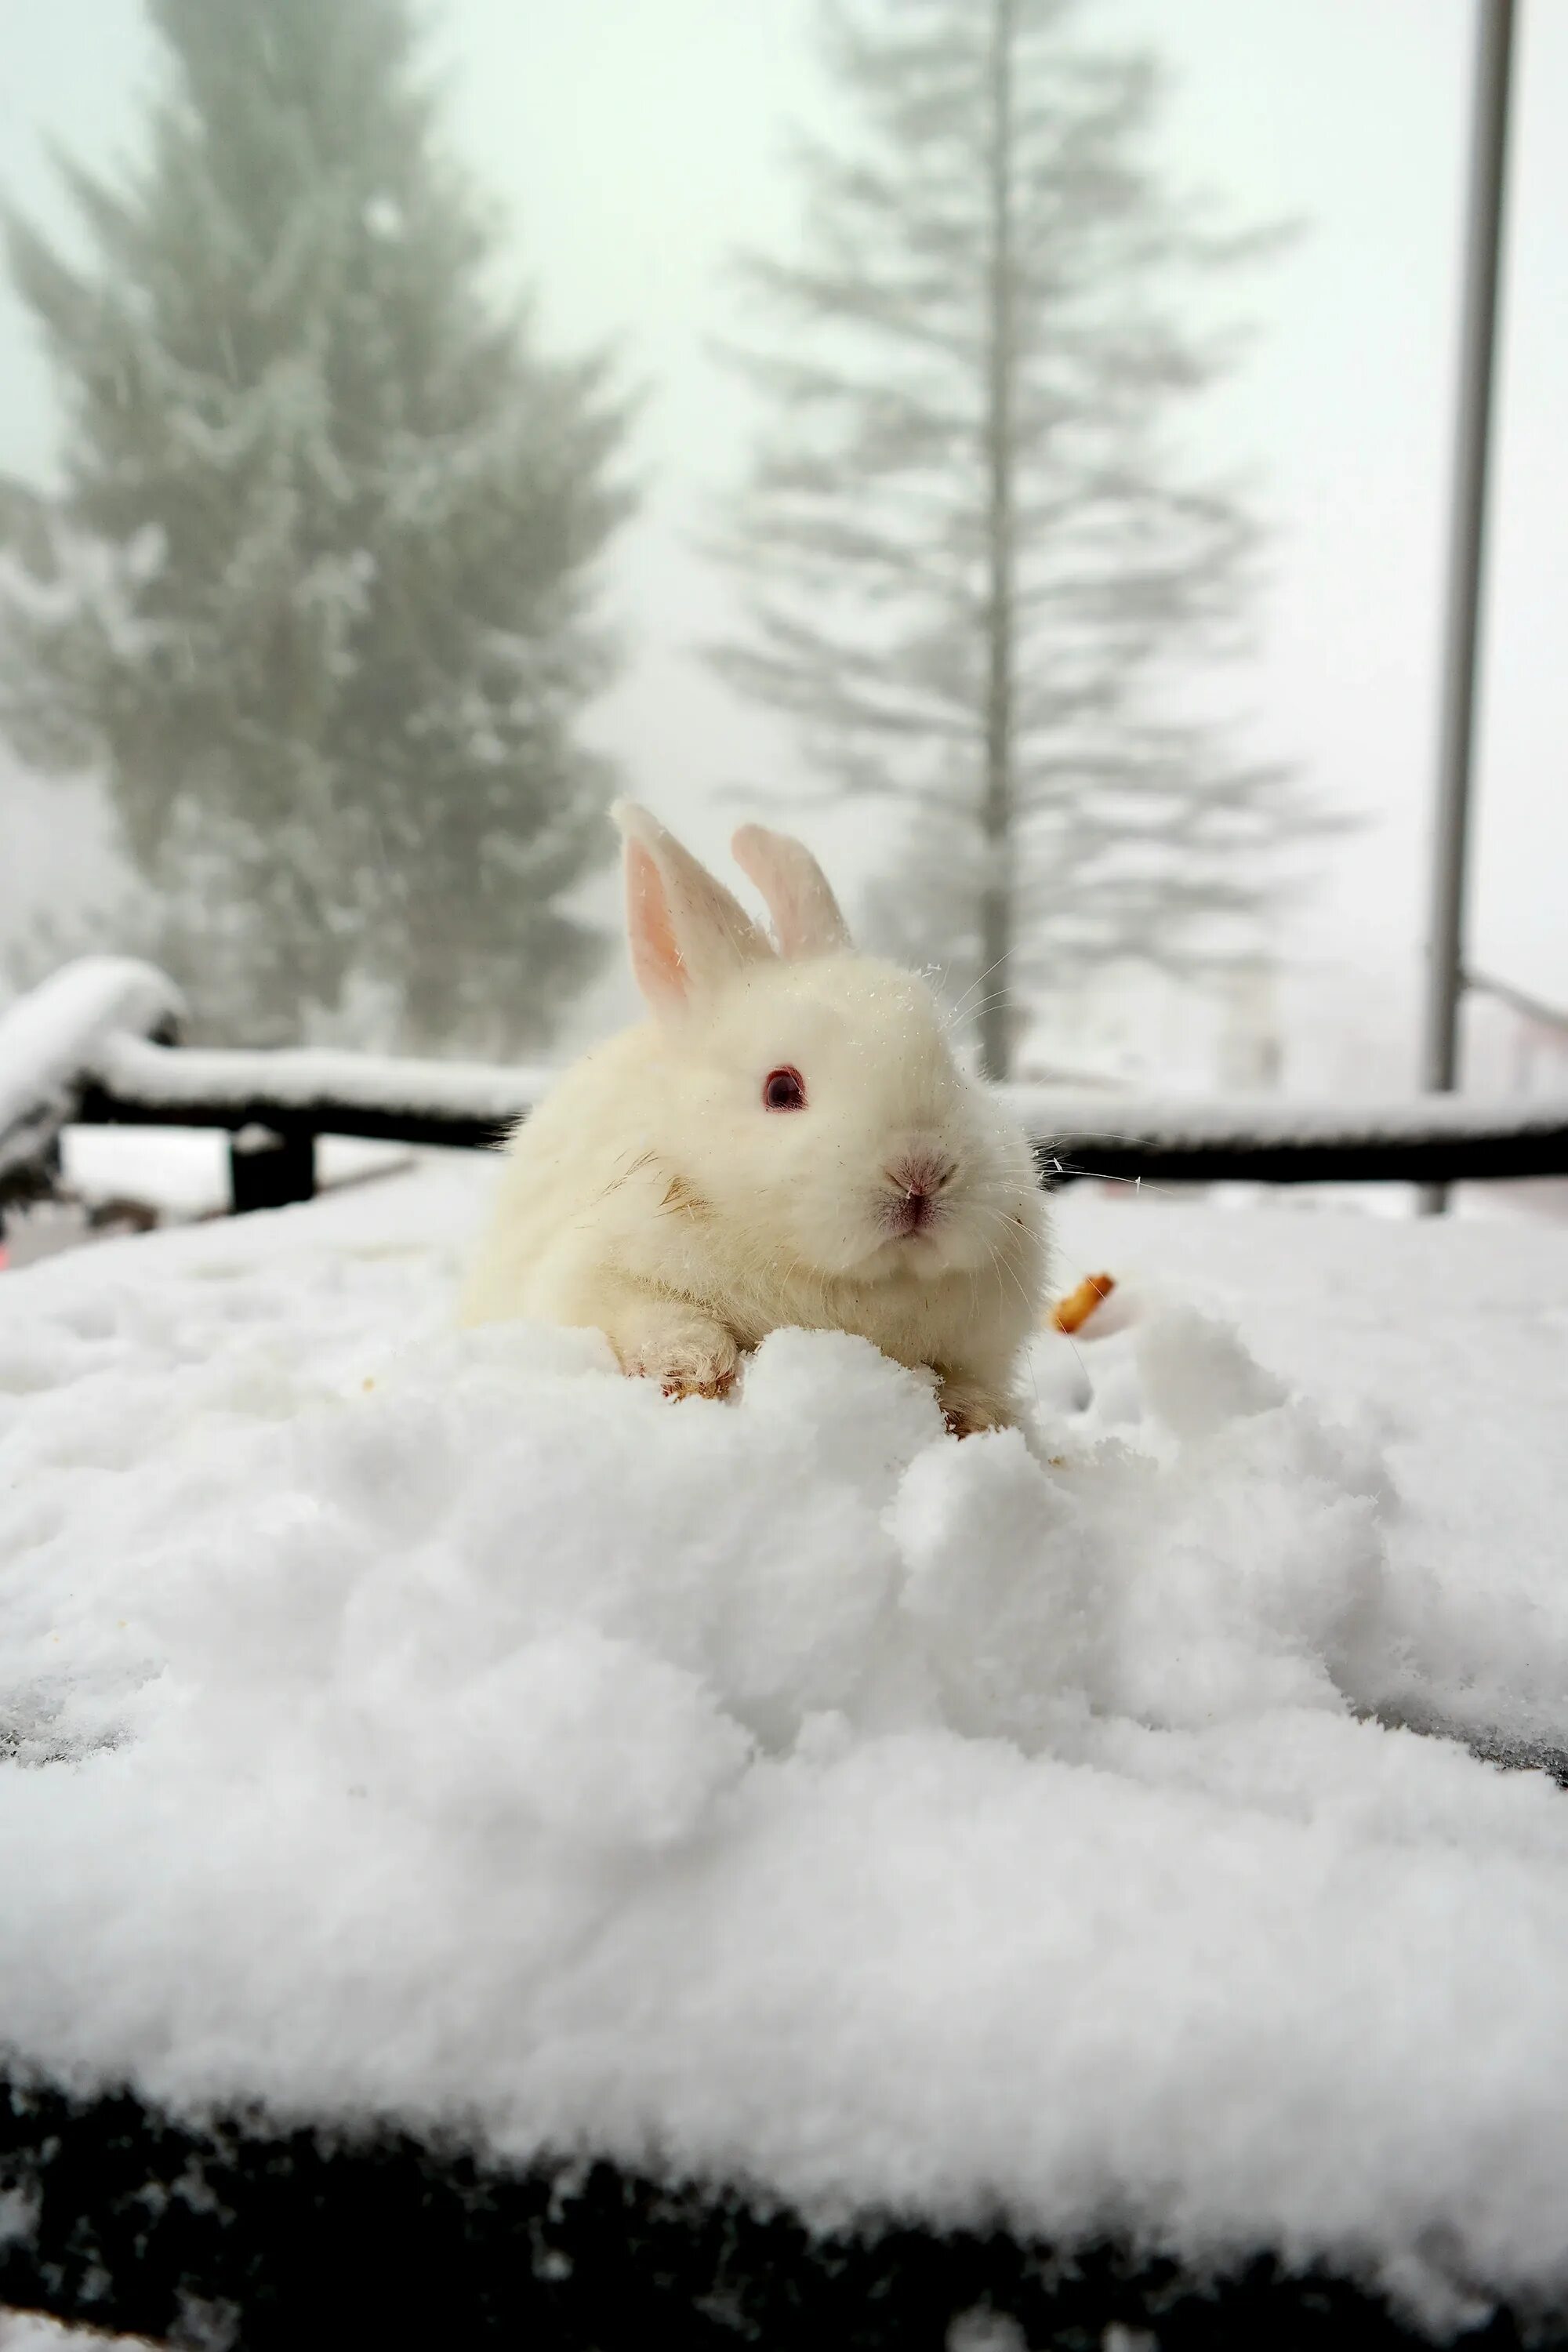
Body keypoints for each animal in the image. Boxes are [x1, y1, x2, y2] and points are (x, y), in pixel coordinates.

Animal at [460, 804, 1048, 1430]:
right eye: (781, 1089)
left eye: (956, 1071)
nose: (922, 1174)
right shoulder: (595, 1276)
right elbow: (650, 1315)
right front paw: (696, 1370)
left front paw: (972, 1416)